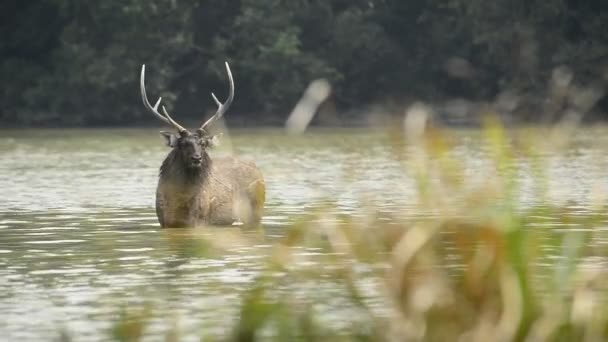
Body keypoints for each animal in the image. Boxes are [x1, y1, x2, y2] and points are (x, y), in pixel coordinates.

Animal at [142, 62, 266, 227]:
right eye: (183, 144)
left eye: (203, 144)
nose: (196, 158)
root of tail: (258, 169)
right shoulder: (163, 221)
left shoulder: (200, 221)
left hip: (256, 212)